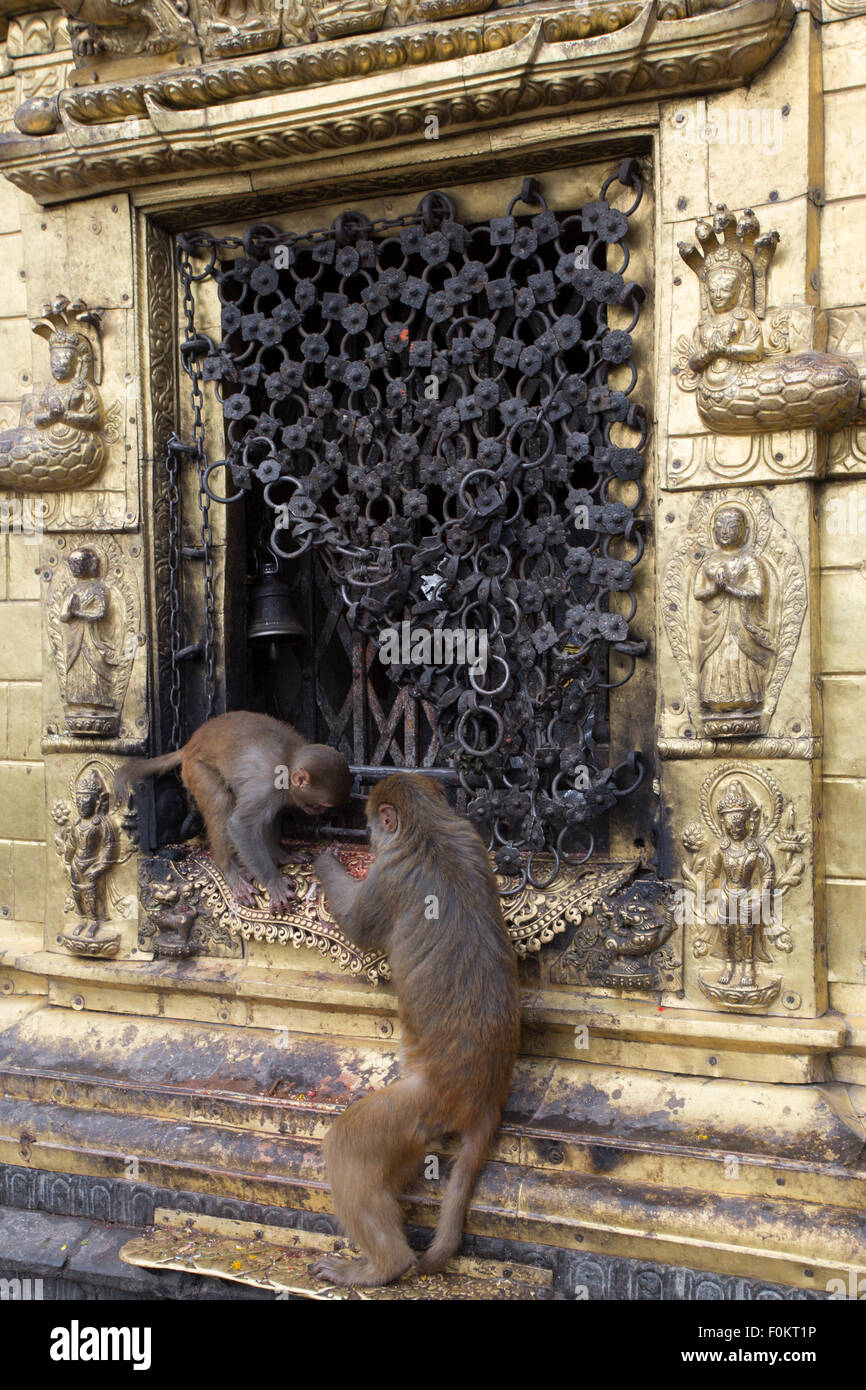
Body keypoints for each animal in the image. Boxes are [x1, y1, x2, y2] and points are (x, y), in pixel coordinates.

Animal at [115, 711, 352, 913]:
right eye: (318, 806)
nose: (320, 815)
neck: (290, 760)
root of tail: (191, 743)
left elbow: (269, 817)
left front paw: (280, 854)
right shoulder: (267, 785)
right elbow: (241, 825)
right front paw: (274, 884)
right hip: (196, 768)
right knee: (221, 801)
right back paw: (230, 870)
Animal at [310, 772, 521, 1288]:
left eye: (371, 824)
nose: (365, 836)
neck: (428, 828)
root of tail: (485, 1098)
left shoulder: (387, 875)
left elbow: (356, 924)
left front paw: (325, 857)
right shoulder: (471, 840)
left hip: (420, 1108)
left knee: (349, 1145)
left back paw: (383, 1266)